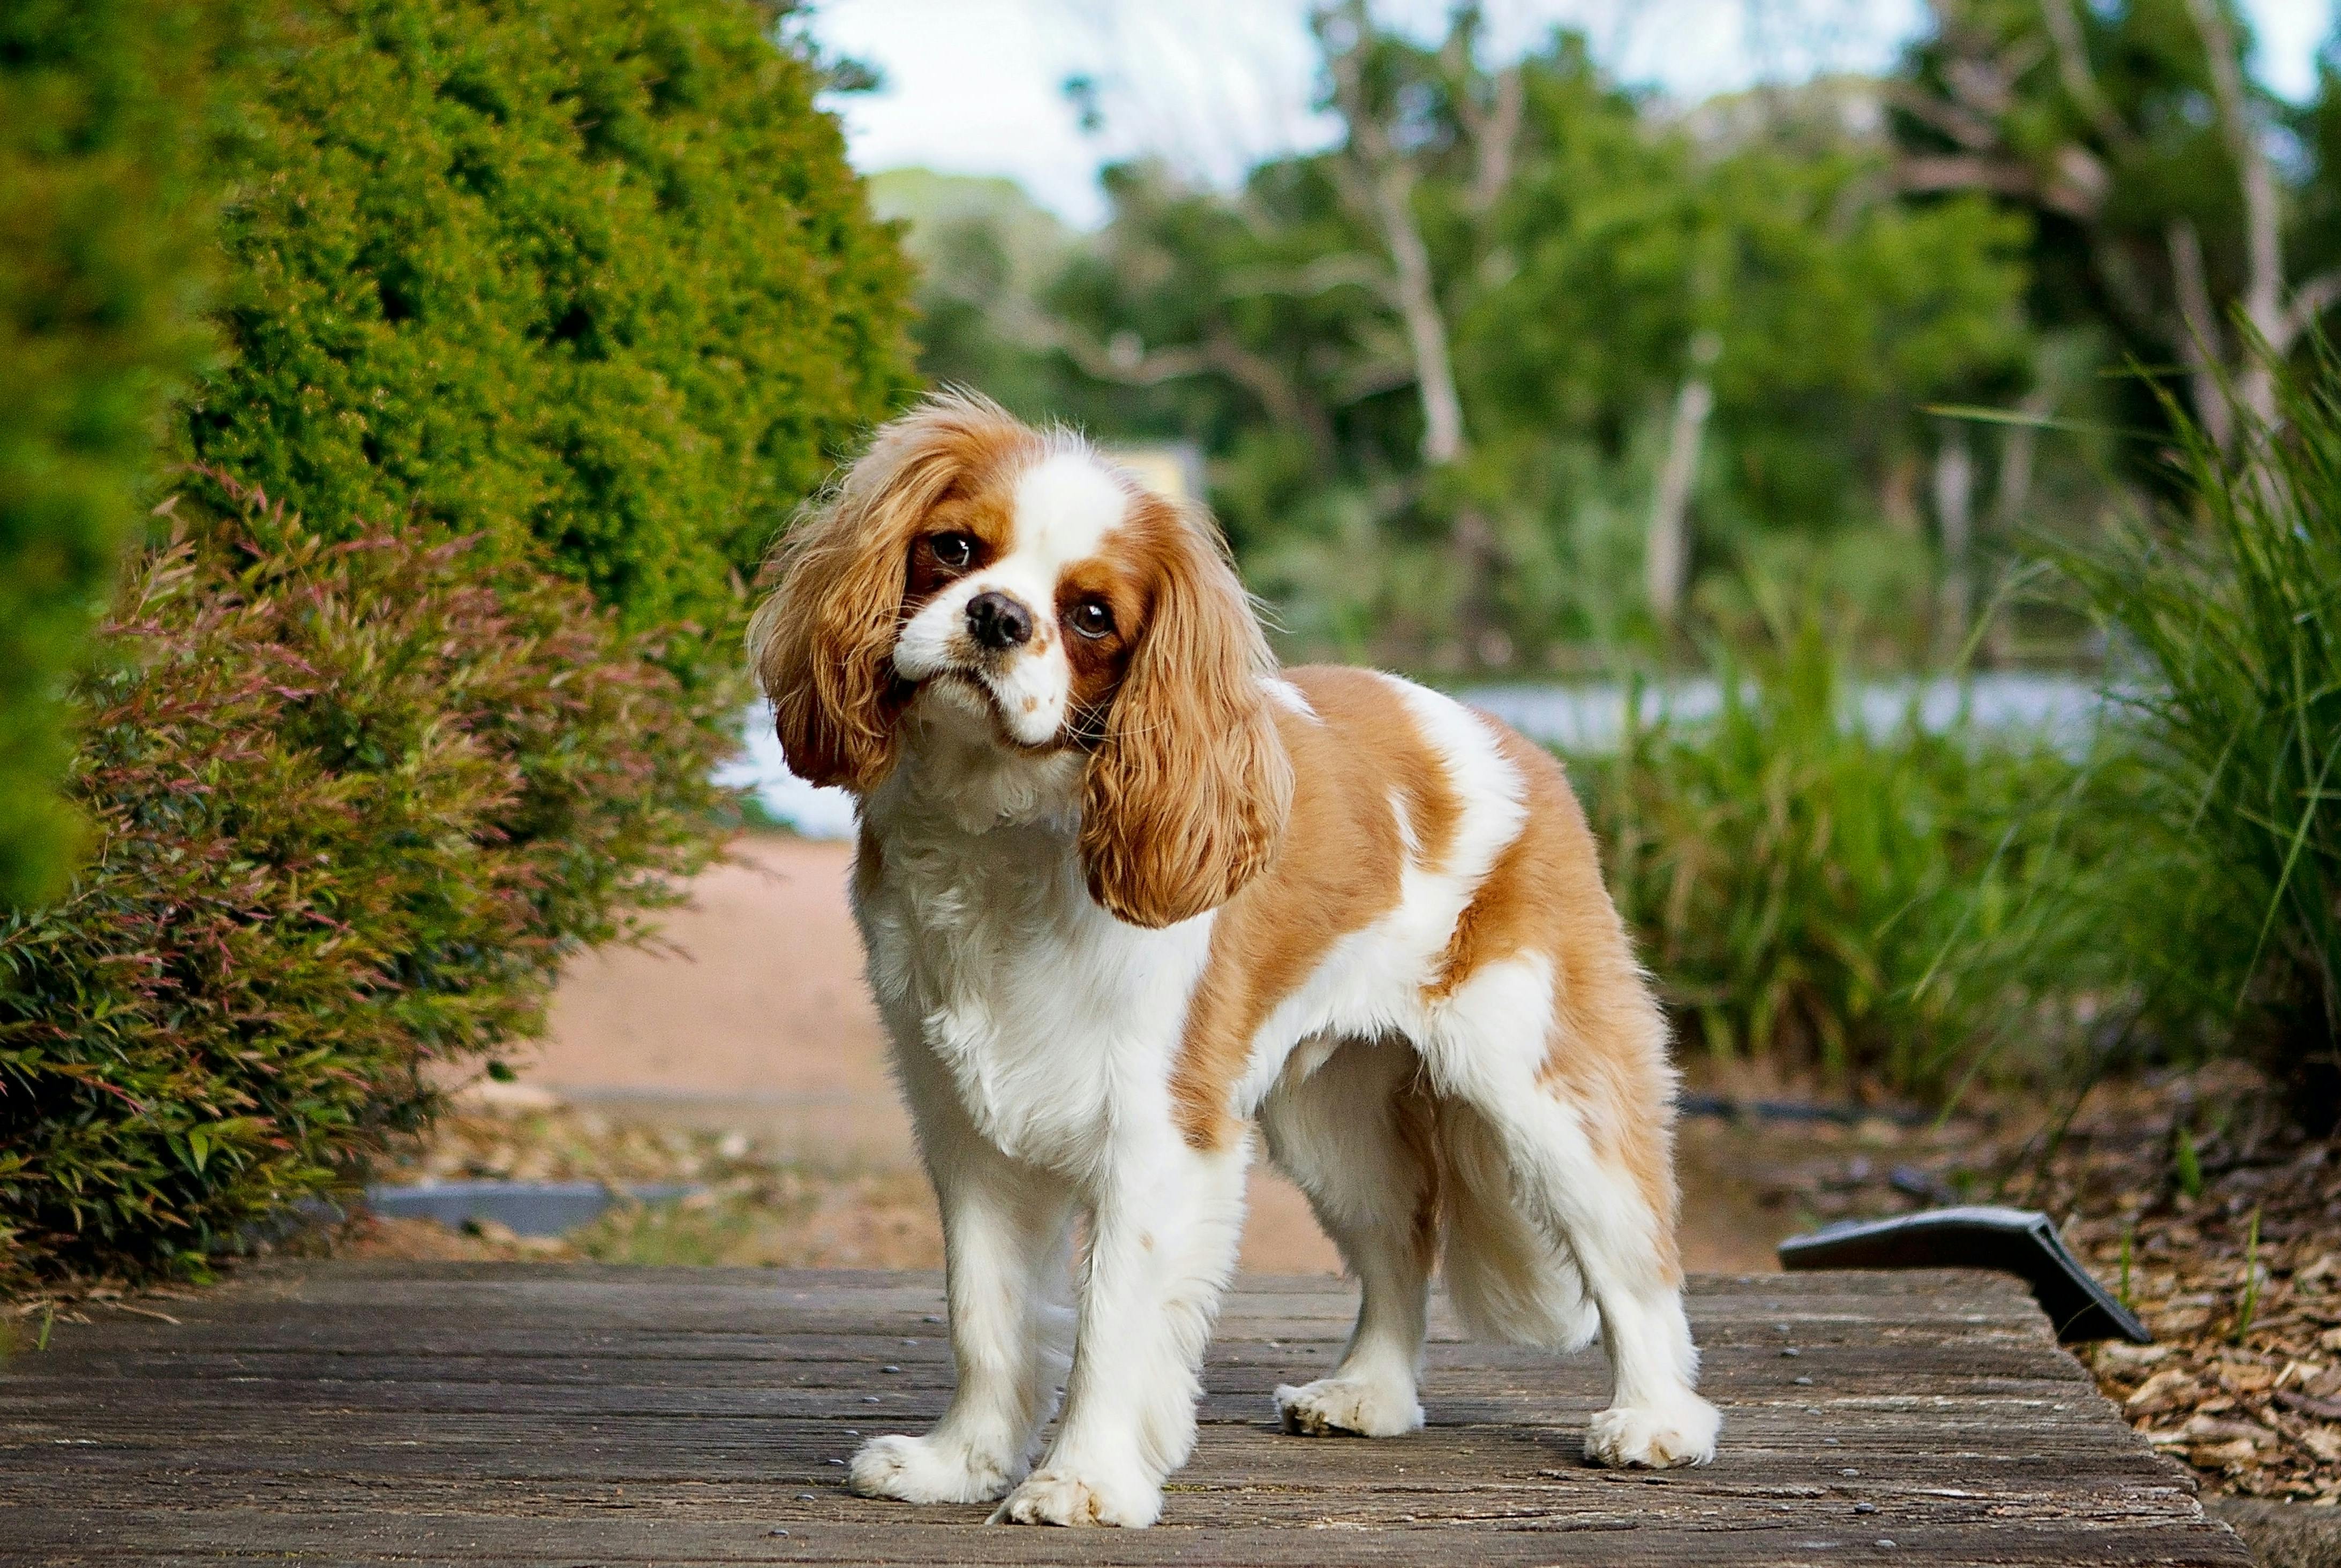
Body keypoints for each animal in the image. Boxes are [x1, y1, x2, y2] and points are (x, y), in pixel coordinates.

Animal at [749, 393, 1723, 1535]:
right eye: (952, 550)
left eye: (1091, 615)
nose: (995, 616)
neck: (1000, 828)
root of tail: (1511, 738)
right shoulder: (970, 1134)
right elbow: (984, 1314)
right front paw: (962, 1463)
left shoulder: (1158, 1135)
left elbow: (1113, 1322)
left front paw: (1084, 1479)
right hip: (1333, 1118)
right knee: (1403, 1238)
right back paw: (1370, 1393)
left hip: (1541, 1081)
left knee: (1633, 1250)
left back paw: (1656, 1419)